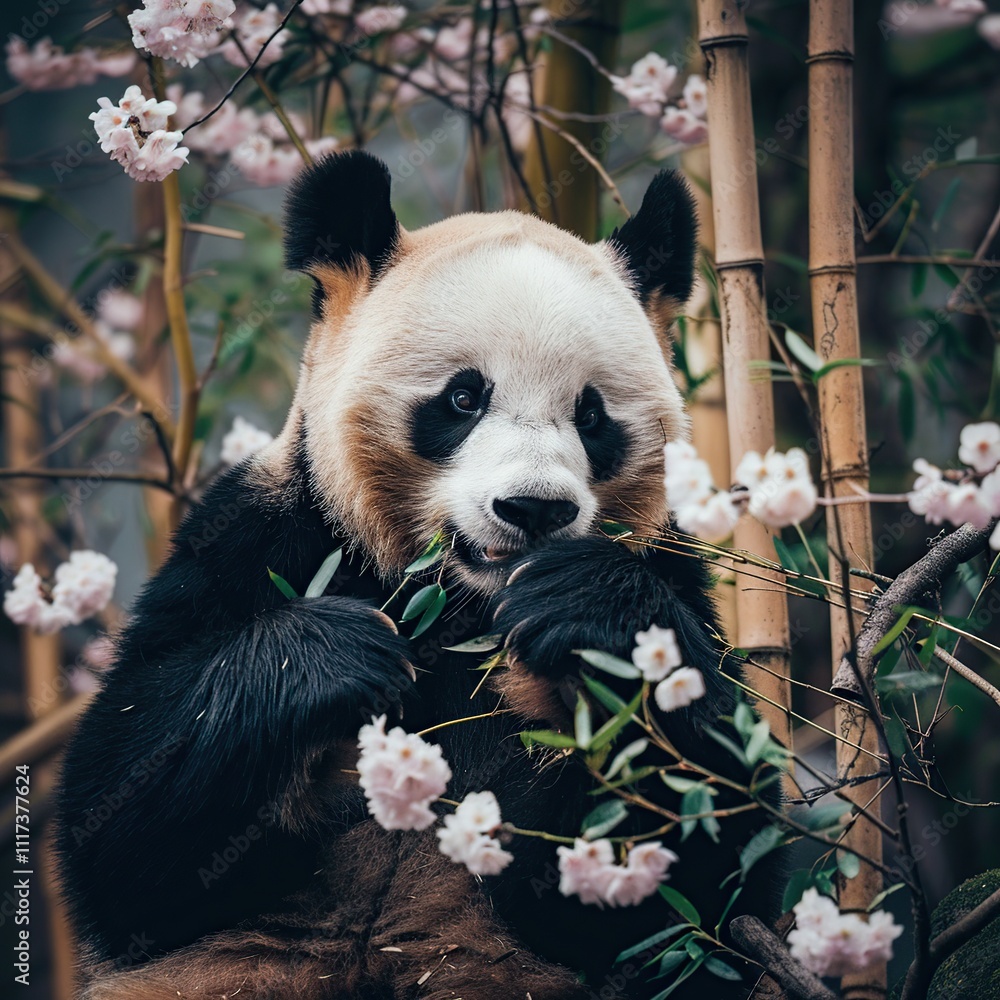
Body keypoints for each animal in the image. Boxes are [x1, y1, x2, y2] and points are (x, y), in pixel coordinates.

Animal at [55, 151, 779, 1000]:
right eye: (463, 396)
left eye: (592, 414)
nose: (533, 509)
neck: (461, 611)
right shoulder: (259, 542)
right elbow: (121, 842)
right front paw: (332, 659)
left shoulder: (670, 569)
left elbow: (703, 883)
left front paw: (583, 606)